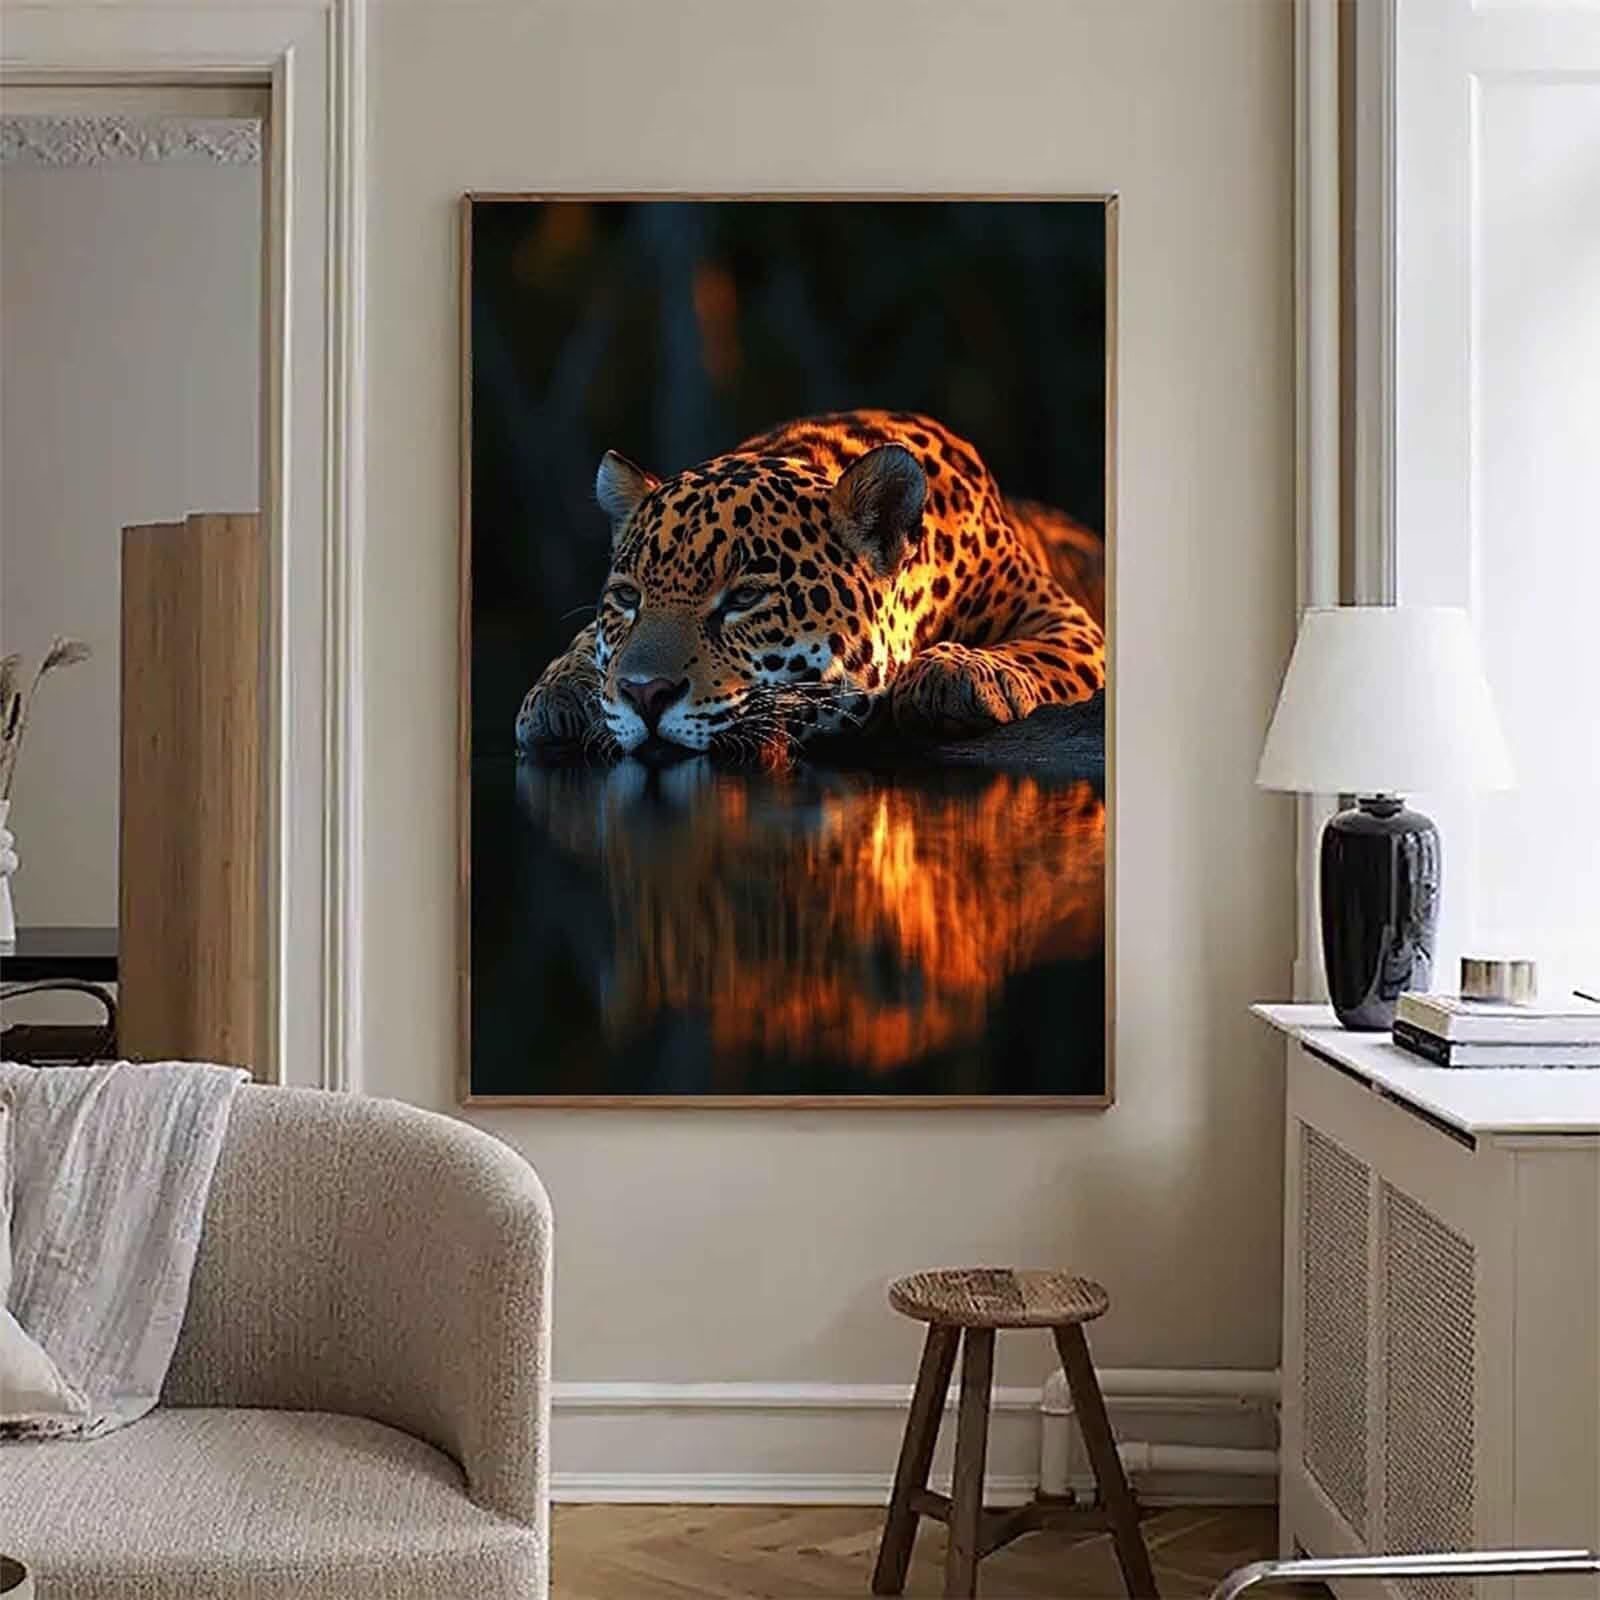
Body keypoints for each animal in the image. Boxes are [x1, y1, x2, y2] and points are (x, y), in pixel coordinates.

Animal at [514, 409, 1105, 762]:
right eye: (627, 598)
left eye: (745, 598)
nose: (644, 695)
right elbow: (587, 648)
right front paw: (560, 694)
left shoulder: (1067, 623)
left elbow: (1035, 651)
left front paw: (956, 672)